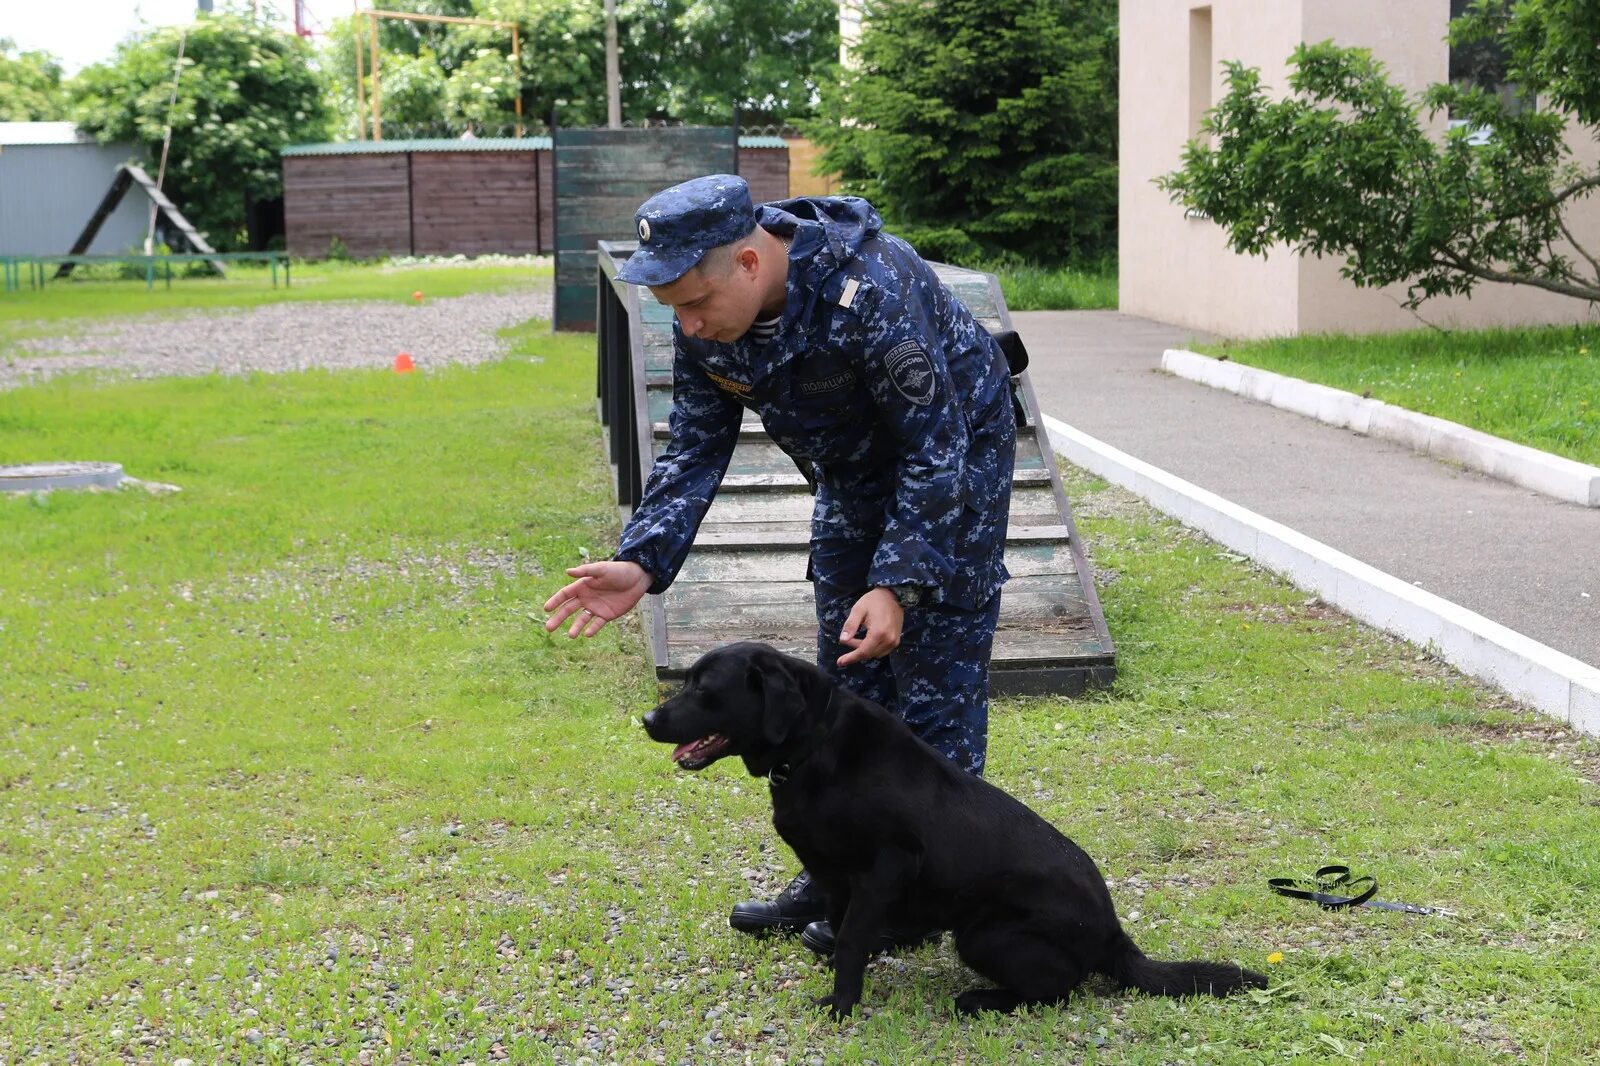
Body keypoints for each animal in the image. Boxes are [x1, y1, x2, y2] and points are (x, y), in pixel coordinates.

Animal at [636, 640, 1260, 1011]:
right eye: (687, 681)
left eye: (703, 689)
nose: (646, 720)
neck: (813, 747)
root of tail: (1114, 933)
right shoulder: (836, 879)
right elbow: (841, 931)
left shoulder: (885, 866)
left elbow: (852, 939)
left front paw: (841, 1006)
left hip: (984, 934)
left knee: (1058, 990)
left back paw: (981, 1000)